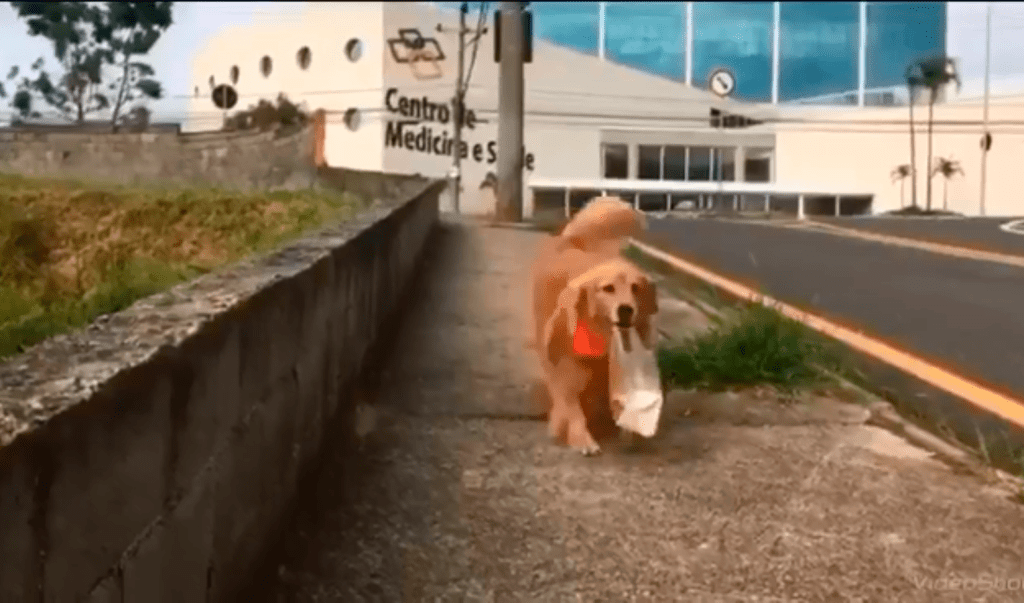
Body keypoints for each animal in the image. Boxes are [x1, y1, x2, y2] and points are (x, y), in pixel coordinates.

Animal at [528, 195, 655, 454]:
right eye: (608, 289)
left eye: (636, 288)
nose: (626, 310)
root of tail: (570, 242)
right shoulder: (565, 364)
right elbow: (569, 402)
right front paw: (579, 437)